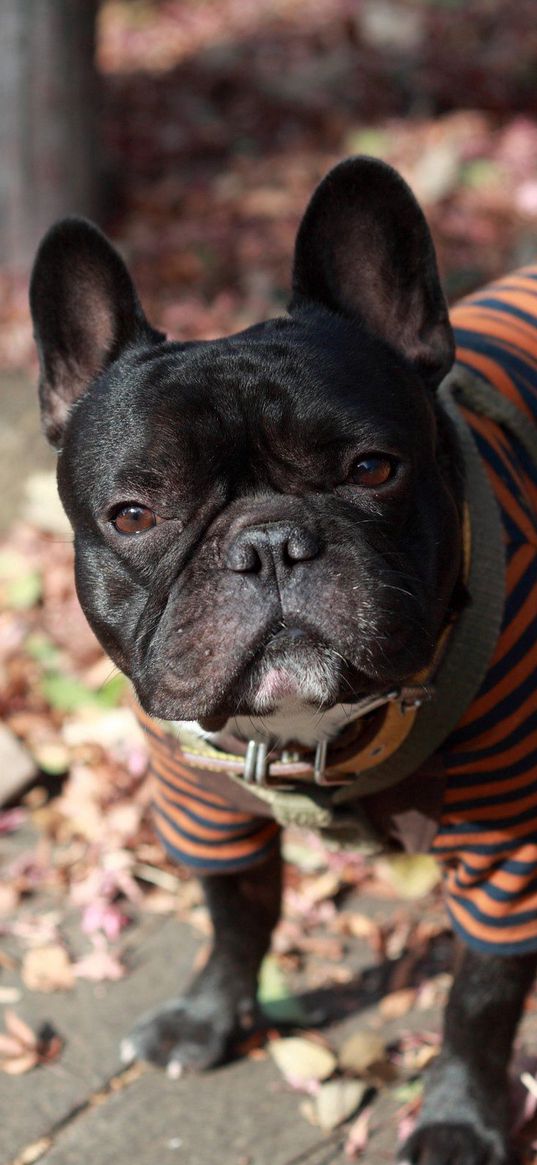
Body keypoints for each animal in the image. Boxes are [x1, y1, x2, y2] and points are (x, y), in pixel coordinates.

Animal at [30, 157, 535, 1165]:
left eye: (373, 469)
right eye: (134, 514)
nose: (266, 542)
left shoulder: (511, 845)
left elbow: (481, 994)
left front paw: (458, 1115)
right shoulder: (203, 798)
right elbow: (235, 909)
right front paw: (210, 1016)